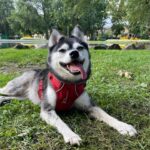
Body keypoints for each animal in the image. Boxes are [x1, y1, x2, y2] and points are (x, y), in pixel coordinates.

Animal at [0, 26, 137, 145]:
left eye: (80, 48)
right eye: (62, 50)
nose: (74, 53)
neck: (69, 84)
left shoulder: (90, 106)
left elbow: (107, 115)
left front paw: (124, 126)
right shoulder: (47, 109)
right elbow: (61, 123)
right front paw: (71, 135)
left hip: (23, 96)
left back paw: (4, 101)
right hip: (15, 88)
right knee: (3, 91)